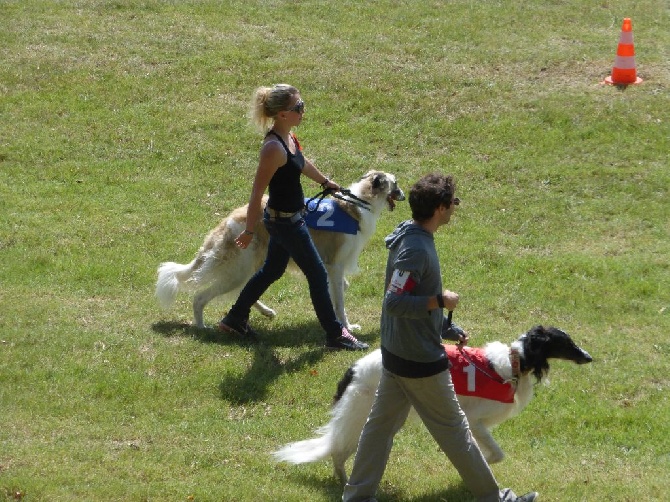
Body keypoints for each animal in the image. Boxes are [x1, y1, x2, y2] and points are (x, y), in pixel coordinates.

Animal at [155, 171, 404, 332]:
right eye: (395, 183)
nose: (403, 195)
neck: (357, 205)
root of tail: (229, 220)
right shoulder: (335, 265)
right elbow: (340, 302)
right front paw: (347, 326)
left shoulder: (331, 267)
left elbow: (341, 289)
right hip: (238, 271)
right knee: (200, 298)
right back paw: (201, 327)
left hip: (252, 266)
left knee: (247, 290)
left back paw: (264, 312)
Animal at [272, 326, 592, 482]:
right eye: (565, 343)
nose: (589, 357)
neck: (517, 361)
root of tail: (355, 368)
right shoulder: (472, 420)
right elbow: (496, 455)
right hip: (362, 416)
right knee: (338, 452)